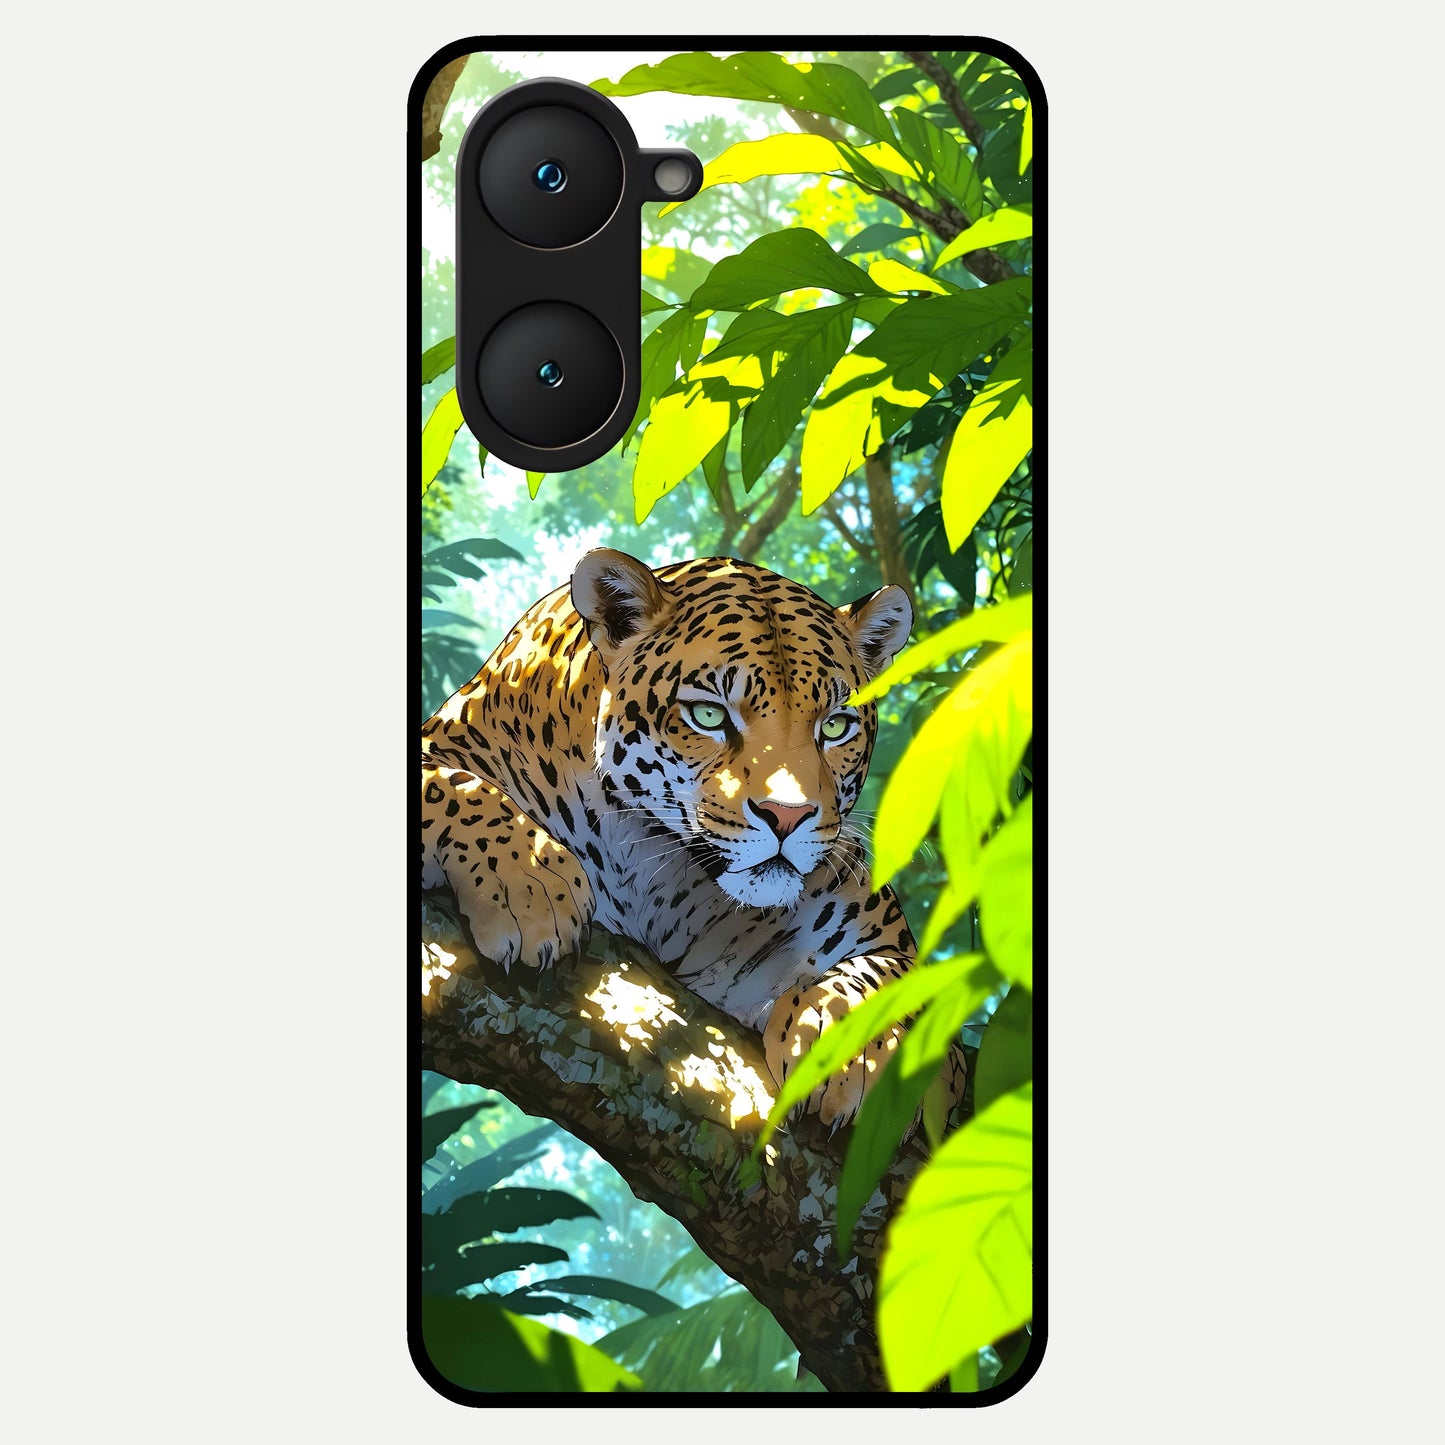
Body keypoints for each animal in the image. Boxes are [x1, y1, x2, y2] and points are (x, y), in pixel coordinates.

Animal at [421, 548, 966, 1129]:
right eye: (708, 715)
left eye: (836, 726)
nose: (787, 815)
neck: (651, 868)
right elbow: (451, 785)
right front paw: (530, 884)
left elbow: (898, 976)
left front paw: (848, 1045)